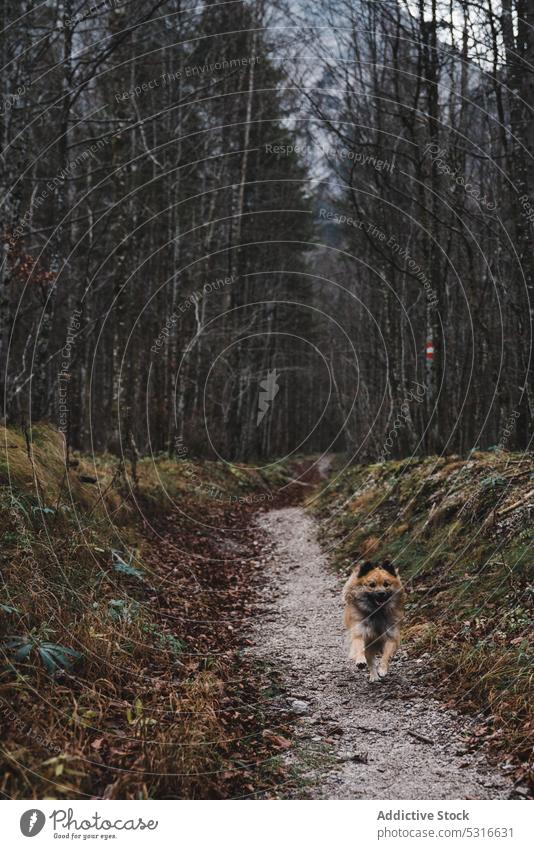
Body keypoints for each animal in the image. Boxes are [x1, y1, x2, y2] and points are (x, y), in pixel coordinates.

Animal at [344, 556, 406, 684]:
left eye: (386, 584)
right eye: (371, 585)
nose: (381, 593)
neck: (377, 612)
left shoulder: (391, 636)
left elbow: (386, 655)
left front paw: (382, 669)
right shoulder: (360, 634)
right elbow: (359, 648)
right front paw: (360, 661)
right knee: (370, 661)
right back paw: (373, 676)